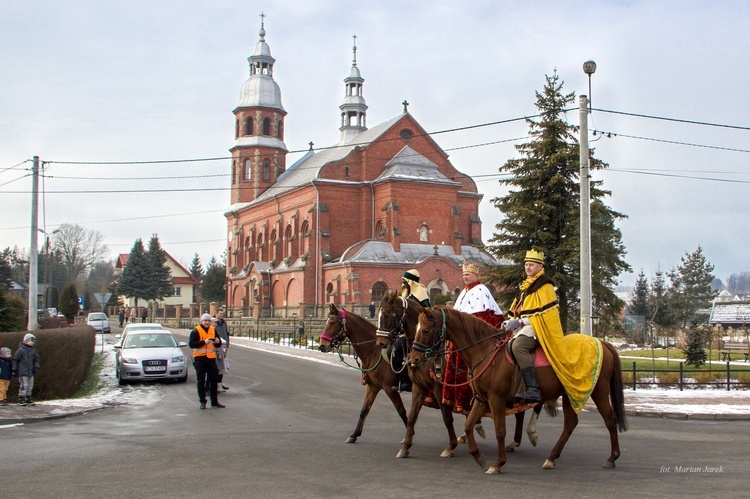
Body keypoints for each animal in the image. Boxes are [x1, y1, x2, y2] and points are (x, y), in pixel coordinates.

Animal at [318, 302, 412, 444]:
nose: (322, 345)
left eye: (333, 322)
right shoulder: (373, 386)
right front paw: (354, 434)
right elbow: (364, 410)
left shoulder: (389, 388)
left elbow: (401, 411)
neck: (374, 350)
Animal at [414, 306, 632, 474]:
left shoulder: (496, 400)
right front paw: (478, 456)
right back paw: (551, 458)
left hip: (598, 391)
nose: (415, 359)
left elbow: (500, 431)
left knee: (609, 420)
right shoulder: (482, 399)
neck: (486, 352)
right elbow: (468, 425)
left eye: (425, 330)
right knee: (570, 424)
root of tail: (602, 342)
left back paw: (612, 458)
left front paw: (498, 463)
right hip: (570, 393)